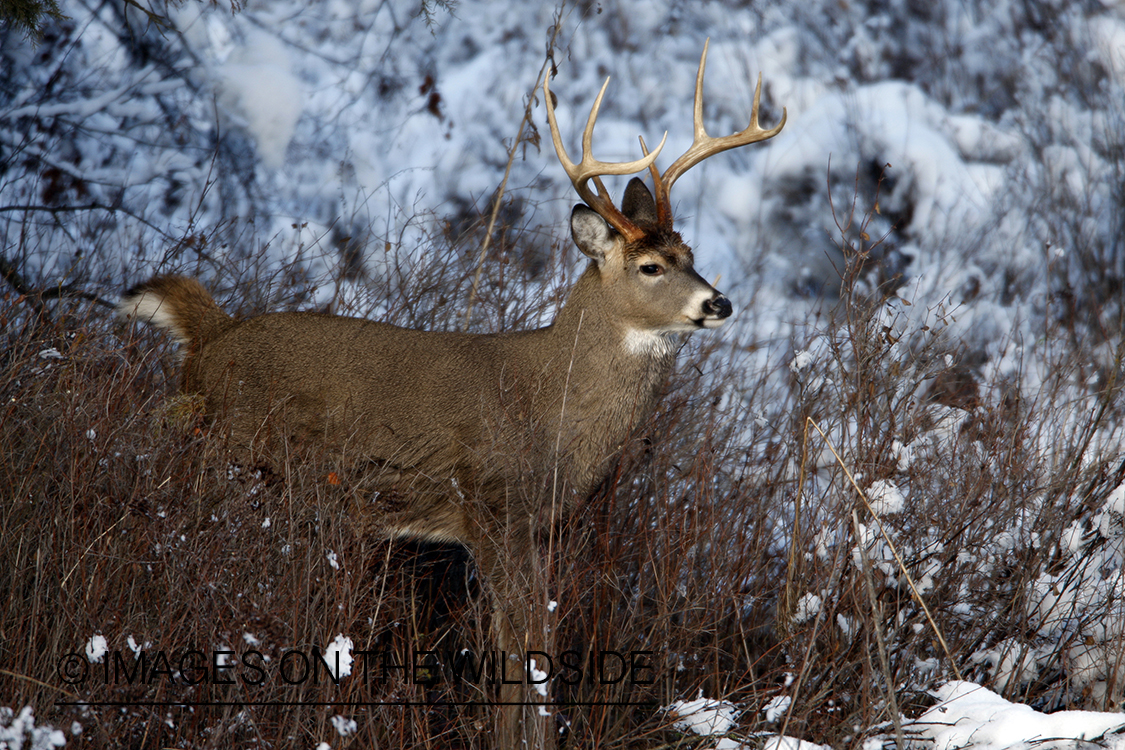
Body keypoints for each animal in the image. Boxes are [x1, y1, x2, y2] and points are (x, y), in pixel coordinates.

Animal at [114, 42, 783, 750]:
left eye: (689, 253)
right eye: (650, 267)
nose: (719, 302)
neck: (550, 410)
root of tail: (210, 338)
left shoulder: (535, 525)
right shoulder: (488, 506)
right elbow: (523, 648)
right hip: (227, 452)